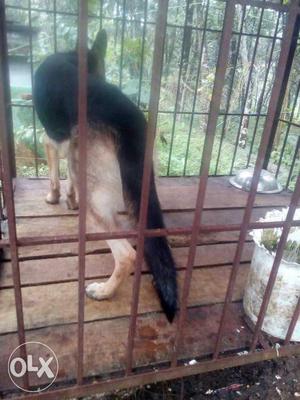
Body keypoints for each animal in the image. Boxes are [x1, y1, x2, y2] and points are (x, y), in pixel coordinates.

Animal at [32, 29, 178, 322]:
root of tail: (128, 121)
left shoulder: (51, 139)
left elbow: (53, 168)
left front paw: (54, 196)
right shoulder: (69, 146)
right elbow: (68, 178)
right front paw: (69, 198)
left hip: (94, 205)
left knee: (126, 255)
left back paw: (104, 291)